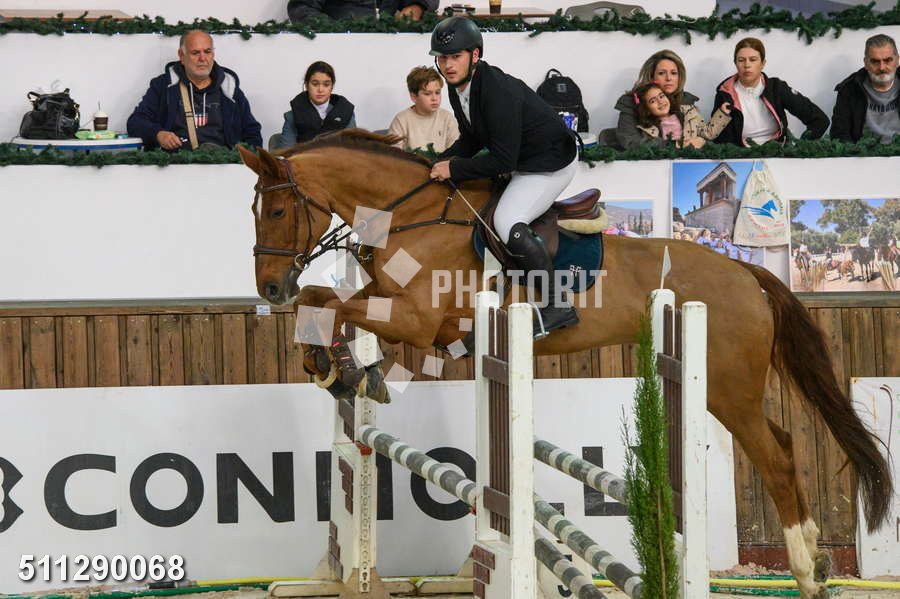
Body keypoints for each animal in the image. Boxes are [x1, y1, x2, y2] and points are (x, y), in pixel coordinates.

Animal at [236, 130, 892, 599]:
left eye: (276, 213)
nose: (269, 288)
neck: (411, 214)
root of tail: (746, 272)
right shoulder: (403, 311)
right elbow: (326, 302)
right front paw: (341, 369)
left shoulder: (416, 319)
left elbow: (328, 302)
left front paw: (336, 365)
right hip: (732, 388)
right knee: (783, 441)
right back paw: (819, 559)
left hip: (727, 387)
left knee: (776, 457)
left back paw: (805, 570)